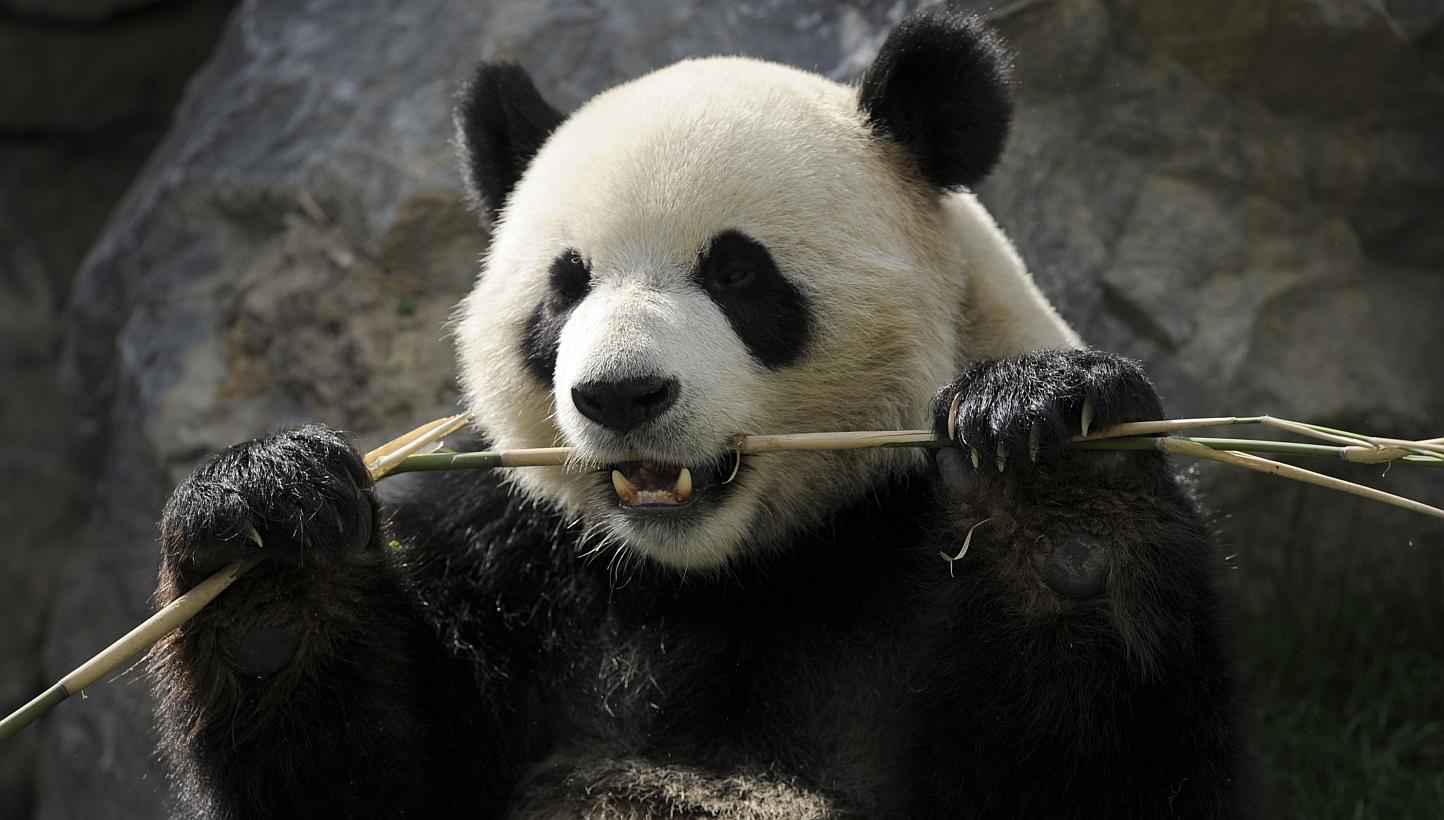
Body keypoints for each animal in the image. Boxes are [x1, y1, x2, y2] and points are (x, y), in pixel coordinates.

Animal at [151, 9, 1256, 819]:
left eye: (735, 272)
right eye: (563, 290)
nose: (620, 394)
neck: (718, 573)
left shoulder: (901, 560)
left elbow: (1112, 771)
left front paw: (1055, 466)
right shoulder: (512, 558)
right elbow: (366, 776)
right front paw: (266, 529)